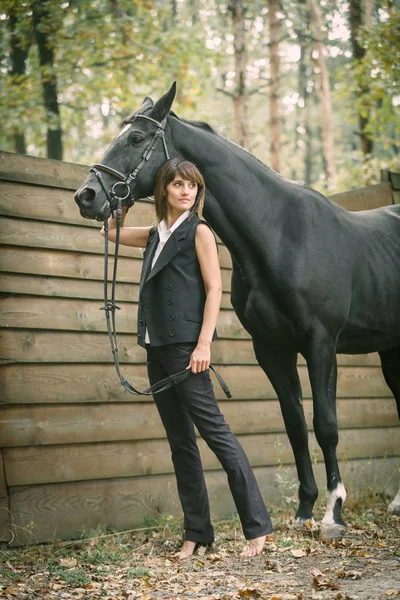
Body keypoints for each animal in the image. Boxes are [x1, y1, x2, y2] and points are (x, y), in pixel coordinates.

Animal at [76, 83, 400, 536]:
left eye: (136, 138)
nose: (86, 196)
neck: (282, 236)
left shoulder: (321, 344)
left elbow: (326, 426)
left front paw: (333, 512)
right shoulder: (272, 350)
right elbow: (295, 427)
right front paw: (303, 510)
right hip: (391, 349)